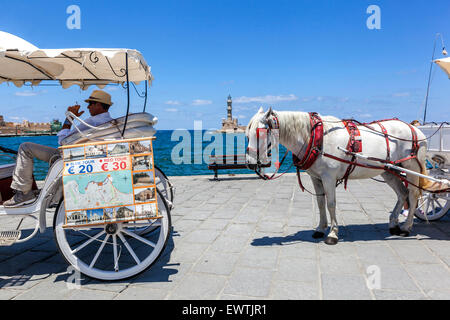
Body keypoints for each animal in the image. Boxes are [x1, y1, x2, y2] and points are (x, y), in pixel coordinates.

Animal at [246, 107, 428, 245]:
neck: (315, 137)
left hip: (411, 169)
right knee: (402, 193)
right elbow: (320, 203)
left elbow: (331, 204)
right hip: (388, 171)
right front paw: (320, 229)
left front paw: (333, 234)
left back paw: (406, 227)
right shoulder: (316, 178)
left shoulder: (329, 177)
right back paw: (393, 224)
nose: (249, 163)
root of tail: (416, 130)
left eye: (260, 133)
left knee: (413, 195)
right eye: (247, 135)